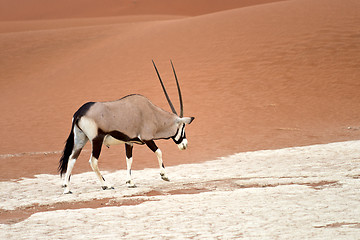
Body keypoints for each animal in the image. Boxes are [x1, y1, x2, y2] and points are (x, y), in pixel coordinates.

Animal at [58, 61, 194, 194]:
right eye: (183, 127)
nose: (185, 145)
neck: (153, 113)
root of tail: (80, 112)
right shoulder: (147, 139)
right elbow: (159, 151)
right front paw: (164, 175)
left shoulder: (129, 142)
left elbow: (129, 159)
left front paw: (130, 183)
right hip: (97, 140)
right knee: (93, 161)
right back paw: (106, 185)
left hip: (81, 139)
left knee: (71, 158)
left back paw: (67, 188)